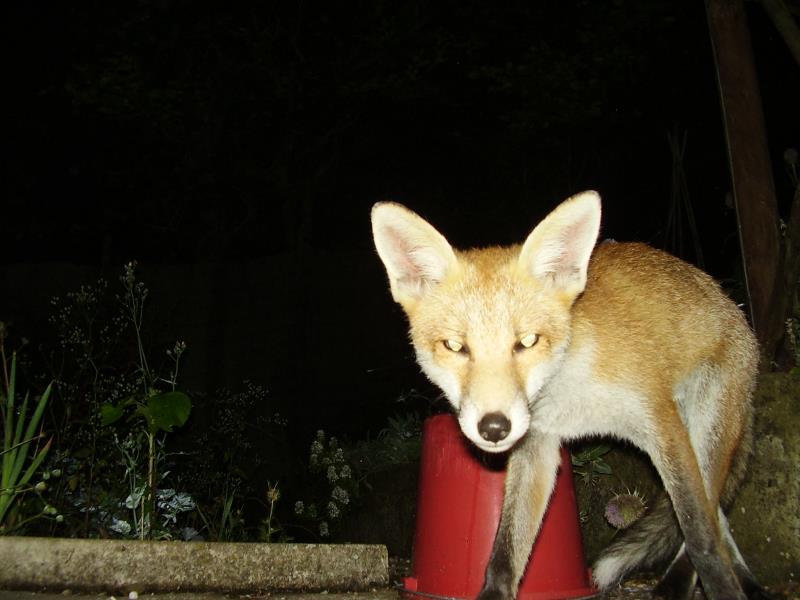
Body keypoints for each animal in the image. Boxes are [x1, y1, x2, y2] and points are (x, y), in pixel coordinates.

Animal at [370, 191, 768, 600]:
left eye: (528, 341)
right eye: (454, 346)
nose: (494, 428)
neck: (569, 396)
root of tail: (730, 303)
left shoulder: (662, 425)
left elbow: (699, 535)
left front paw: (722, 588)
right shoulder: (537, 447)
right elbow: (505, 551)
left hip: (706, 431)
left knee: (710, 514)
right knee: (718, 513)